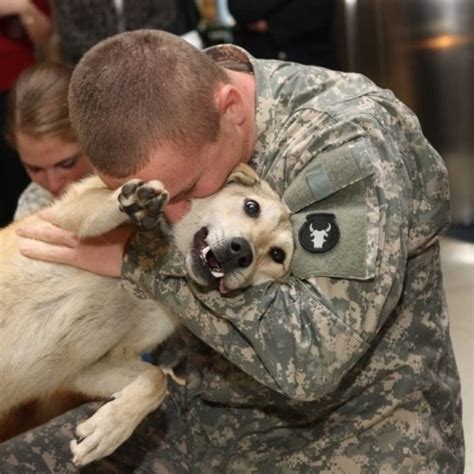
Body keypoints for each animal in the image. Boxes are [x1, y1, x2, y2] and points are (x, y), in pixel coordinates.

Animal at [0, 165, 294, 464]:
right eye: (251, 206)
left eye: (277, 255)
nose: (241, 252)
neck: (134, 288)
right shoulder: (60, 217)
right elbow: (94, 208)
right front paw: (134, 203)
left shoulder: (88, 367)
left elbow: (157, 380)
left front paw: (109, 428)